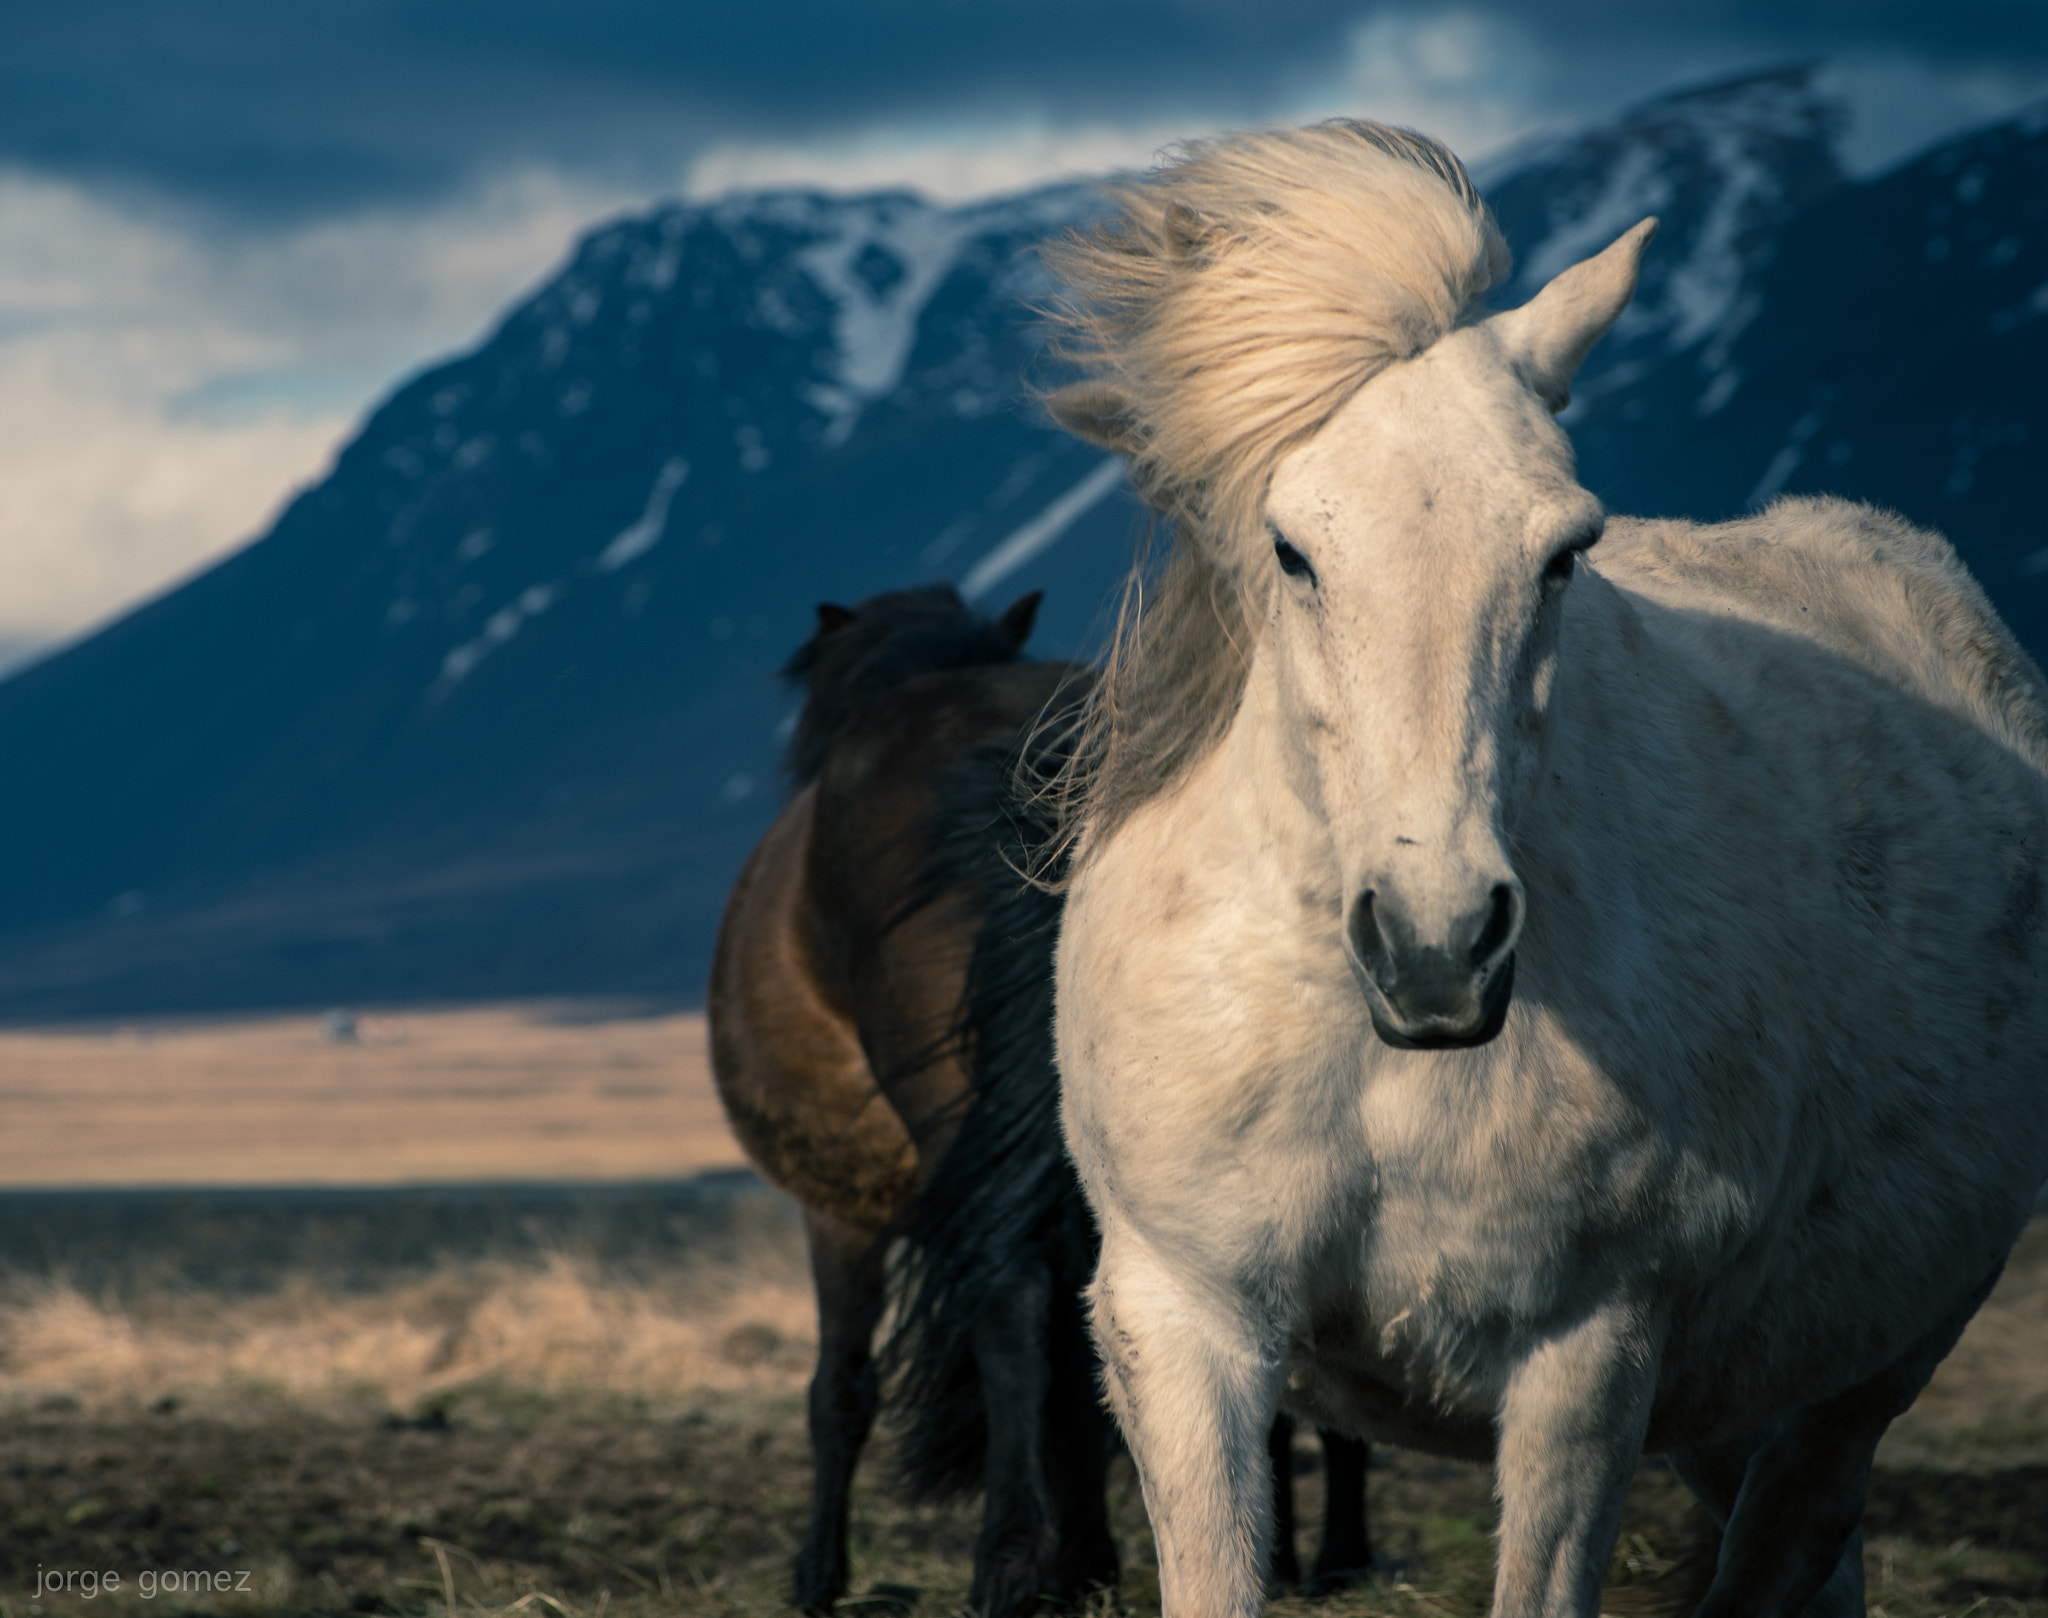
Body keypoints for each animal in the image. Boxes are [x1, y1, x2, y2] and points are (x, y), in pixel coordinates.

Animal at [1034, 119, 2048, 1618]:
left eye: (1566, 551)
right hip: (1741, 1387)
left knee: (1795, 1534)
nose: (1437, 945)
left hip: (1869, 1364)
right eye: (1291, 549)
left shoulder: (1590, 1354)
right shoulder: (1185, 1320)